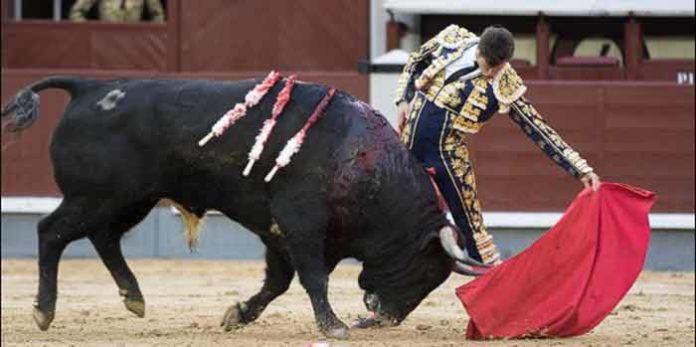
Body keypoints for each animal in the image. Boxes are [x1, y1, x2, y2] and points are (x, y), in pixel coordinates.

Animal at [1, 77, 490, 340]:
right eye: (426, 272)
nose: (386, 319)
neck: (365, 163)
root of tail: (92, 86)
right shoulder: (300, 223)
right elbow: (312, 278)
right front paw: (333, 325)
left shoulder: (280, 233)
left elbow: (278, 282)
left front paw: (238, 315)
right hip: (95, 197)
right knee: (51, 232)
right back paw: (44, 310)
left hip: (129, 200)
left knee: (103, 238)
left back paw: (134, 298)